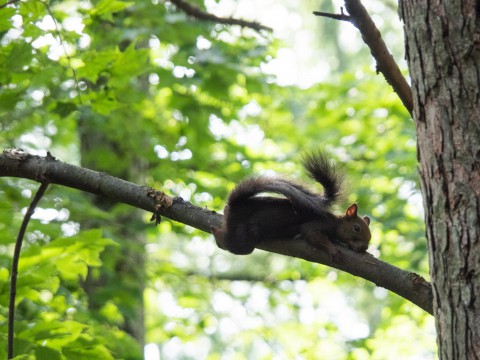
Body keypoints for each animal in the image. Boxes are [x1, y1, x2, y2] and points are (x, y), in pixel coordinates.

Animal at [210, 150, 372, 260]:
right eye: (356, 228)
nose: (364, 248)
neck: (336, 223)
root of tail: (234, 205)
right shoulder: (318, 225)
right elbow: (313, 235)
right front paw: (333, 249)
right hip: (244, 237)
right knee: (231, 244)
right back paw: (216, 232)